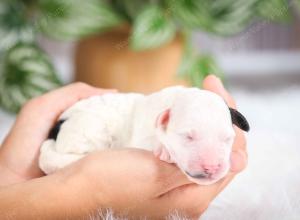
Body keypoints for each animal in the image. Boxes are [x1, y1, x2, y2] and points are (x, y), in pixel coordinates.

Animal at [39, 86, 248, 184]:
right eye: (187, 137)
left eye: (227, 139)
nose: (212, 167)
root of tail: (55, 129)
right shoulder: (141, 137)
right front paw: (165, 151)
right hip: (89, 127)